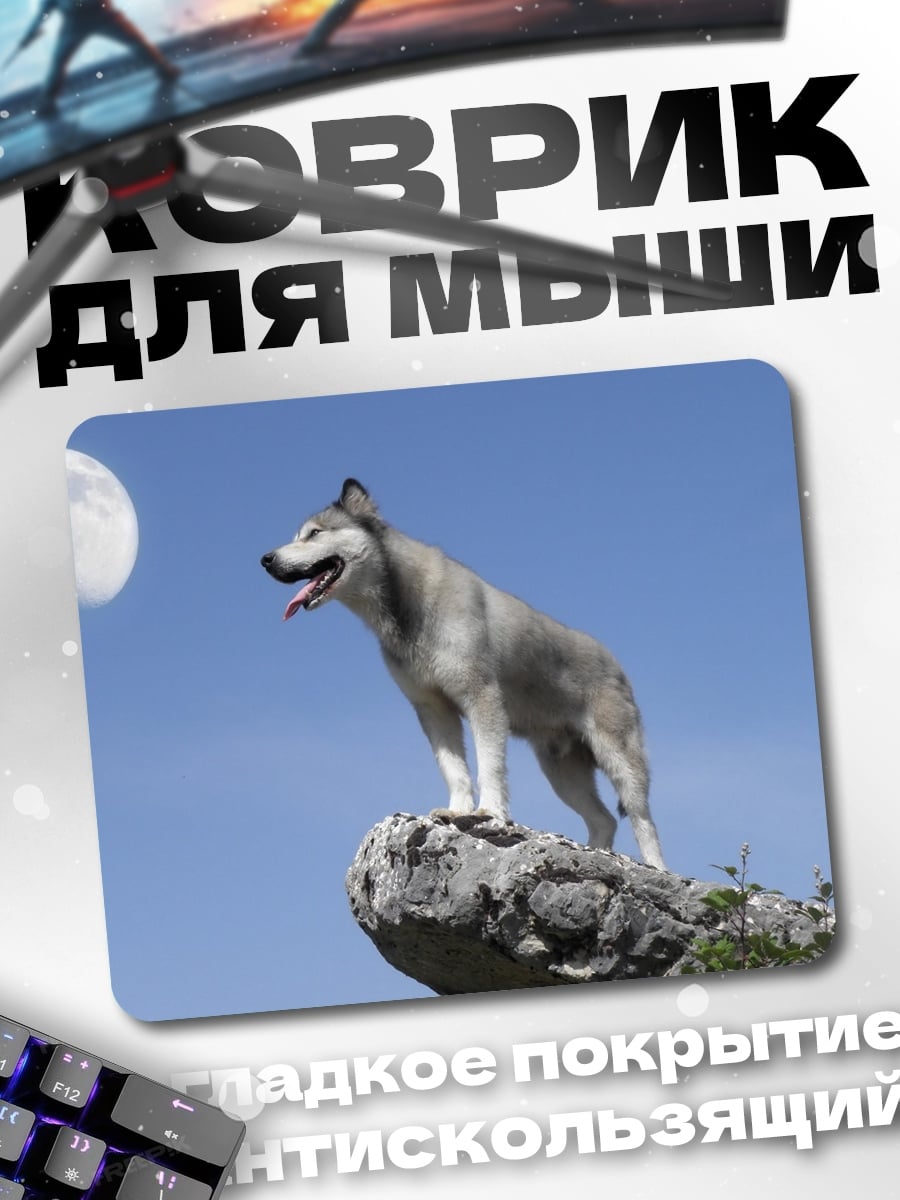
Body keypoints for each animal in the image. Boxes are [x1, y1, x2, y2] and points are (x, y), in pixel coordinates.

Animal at [261, 479, 666, 869]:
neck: (407, 605)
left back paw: (655, 867)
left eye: (314, 533)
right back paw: (598, 854)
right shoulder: (432, 709)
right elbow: (454, 768)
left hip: (620, 758)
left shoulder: (482, 697)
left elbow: (490, 764)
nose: (266, 559)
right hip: (561, 770)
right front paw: (456, 811)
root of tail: (615, 664)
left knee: (643, 819)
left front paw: (489, 812)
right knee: (604, 820)